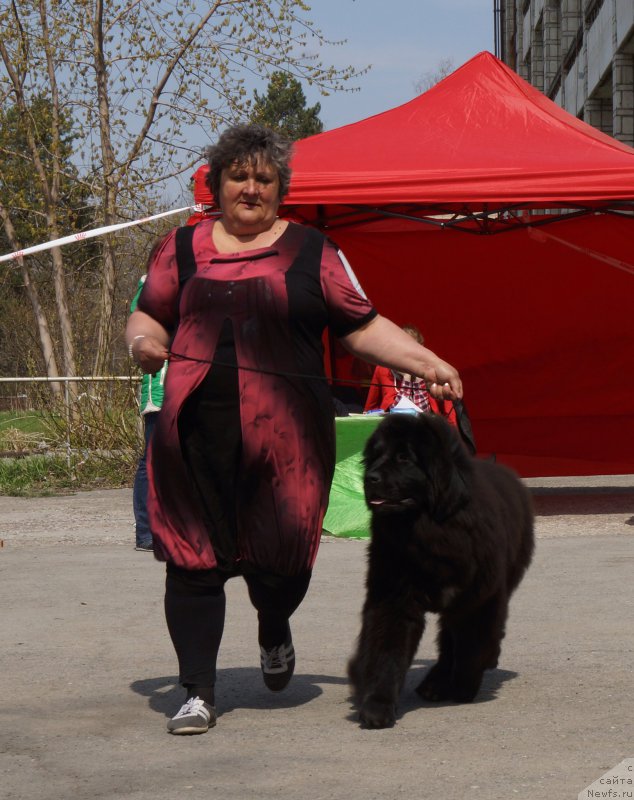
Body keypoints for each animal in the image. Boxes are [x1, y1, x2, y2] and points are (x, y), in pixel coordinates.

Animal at [346, 416, 532, 728]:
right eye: (375, 456)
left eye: (404, 457)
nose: (369, 477)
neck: (430, 530)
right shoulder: (393, 597)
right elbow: (387, 650)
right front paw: (378, 707)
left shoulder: (480, 598)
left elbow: (473, 646)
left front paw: (465, 686)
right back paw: (435, 684)